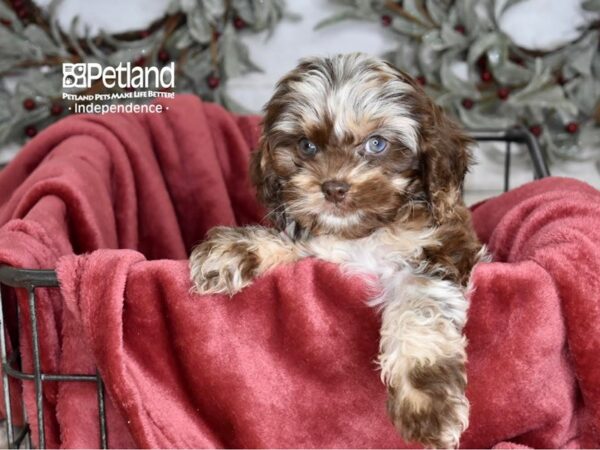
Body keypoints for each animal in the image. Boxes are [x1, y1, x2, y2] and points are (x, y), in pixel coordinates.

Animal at [190, 53, 486, 450]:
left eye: (376, 144)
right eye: (306, 146)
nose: (333, 187)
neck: (363, 233)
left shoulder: (442, 248)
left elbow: (419, 302)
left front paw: (427, 402)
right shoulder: (320, 249)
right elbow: (294, 241)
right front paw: (233, 250)